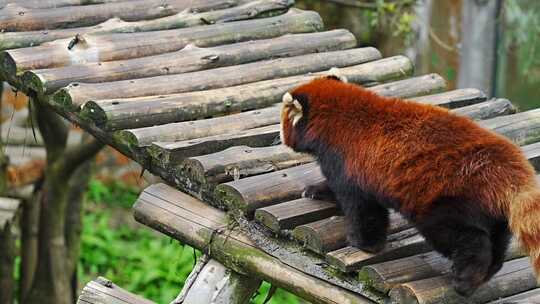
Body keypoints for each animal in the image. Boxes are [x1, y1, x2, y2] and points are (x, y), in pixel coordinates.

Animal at [280, 72, 540, 296]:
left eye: (282, 122)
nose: (281, 138)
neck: (336, 119)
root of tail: (512, 168)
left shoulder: (348, 165)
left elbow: (363, 210)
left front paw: (364, 244)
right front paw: (315, 190)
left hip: (447, 198)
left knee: (464, 237)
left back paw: (465, 280)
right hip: (492, 210)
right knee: (498, 241)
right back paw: (487, 272)